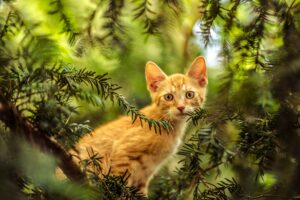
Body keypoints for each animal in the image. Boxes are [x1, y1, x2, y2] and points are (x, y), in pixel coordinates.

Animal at [74, 55, 207, 195]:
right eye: (169, 97)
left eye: (189, 94)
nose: (181, 107)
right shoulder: (122, 151)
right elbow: (118, 185)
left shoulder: (144, 175)